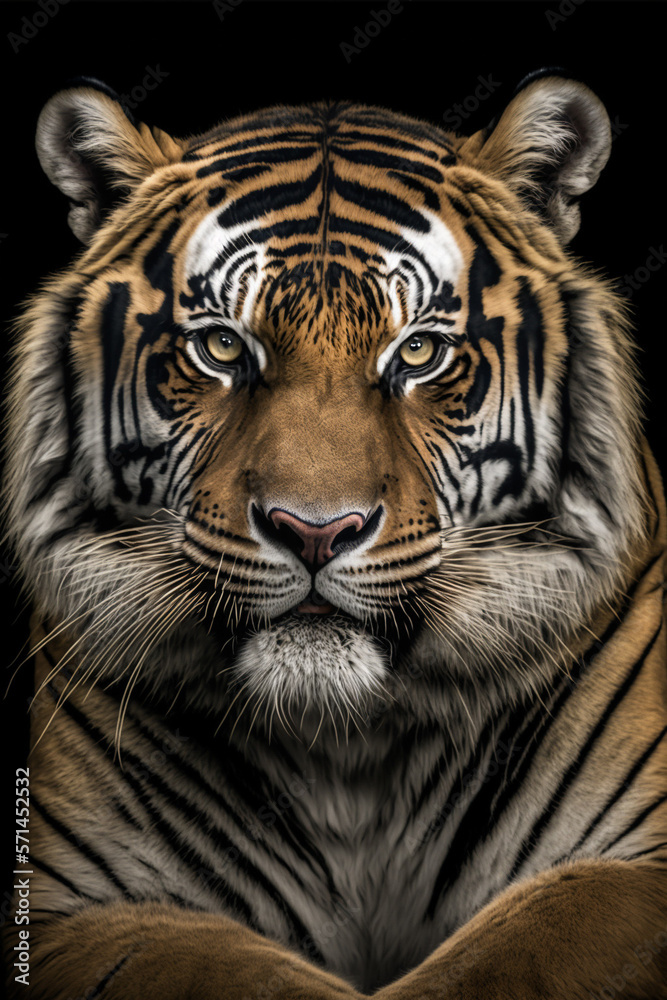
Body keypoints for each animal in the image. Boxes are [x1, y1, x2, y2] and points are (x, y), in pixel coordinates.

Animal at [2, 68, 666, 1000]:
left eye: (418, 353)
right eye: (221, 348)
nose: (314, 531)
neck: (346, 741)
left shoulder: (636, 864)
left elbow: (503, 955)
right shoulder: (70, 904)